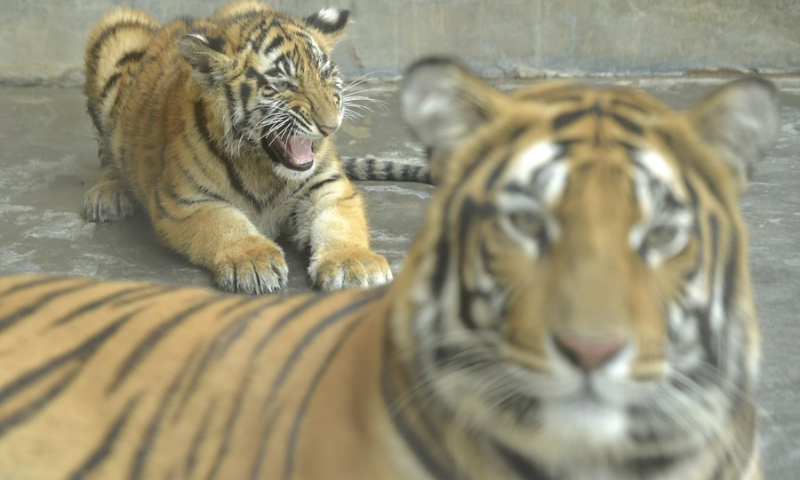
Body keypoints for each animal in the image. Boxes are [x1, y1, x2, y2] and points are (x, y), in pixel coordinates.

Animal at [83, 0, 393, 295]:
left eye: (325, 76)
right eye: (284, 84)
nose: (331, 127)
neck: (264, 167)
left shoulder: (328, 187)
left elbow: (339, 224)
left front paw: (355, 265)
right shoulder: (186, 201)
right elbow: (226, 226)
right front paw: (254, 261)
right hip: (117, 31)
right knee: (107, 154)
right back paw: (107, 196)